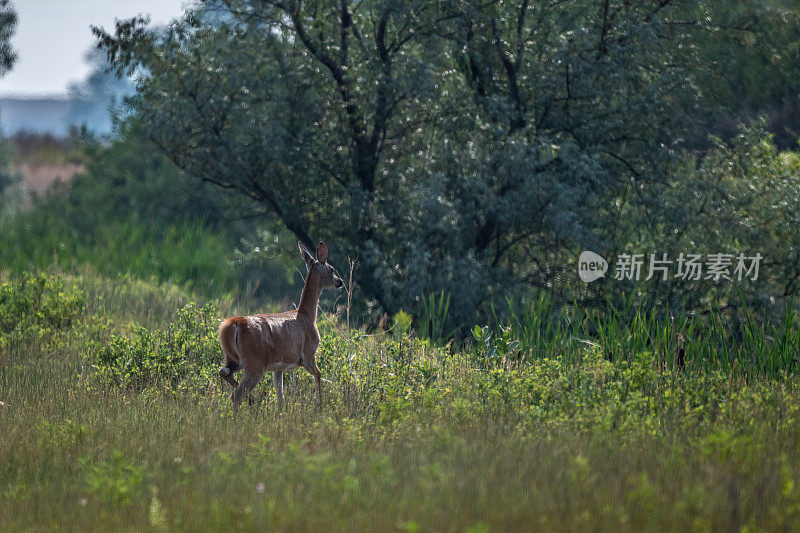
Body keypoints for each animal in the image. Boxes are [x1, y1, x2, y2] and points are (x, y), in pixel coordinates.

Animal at [219, 241, 344, 412]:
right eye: (331, 269)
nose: (340, 282)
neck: (307, 316)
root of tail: (235, 324)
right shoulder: (308, 354)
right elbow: (318, 375)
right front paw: (320, 406)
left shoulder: (278, 368)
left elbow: (281, 397)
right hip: (255, 362)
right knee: (236, 394)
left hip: (234, 358)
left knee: (224, 372)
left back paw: (253, 400)